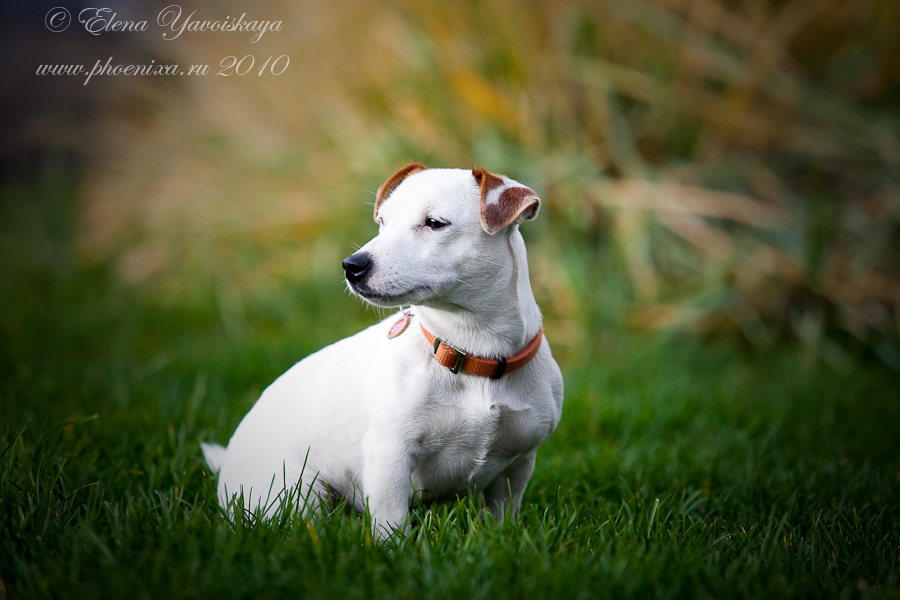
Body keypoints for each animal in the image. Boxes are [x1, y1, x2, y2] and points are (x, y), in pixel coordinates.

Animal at [202, 164, 564, 537]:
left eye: (434, 223)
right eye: (383, 222)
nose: (352, 265)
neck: (471, 352)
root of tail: (227, 469)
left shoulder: (517, 465)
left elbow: (501, 517)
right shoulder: (389, 456)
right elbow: (392, 522)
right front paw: (394, 547)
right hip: (299, 493)